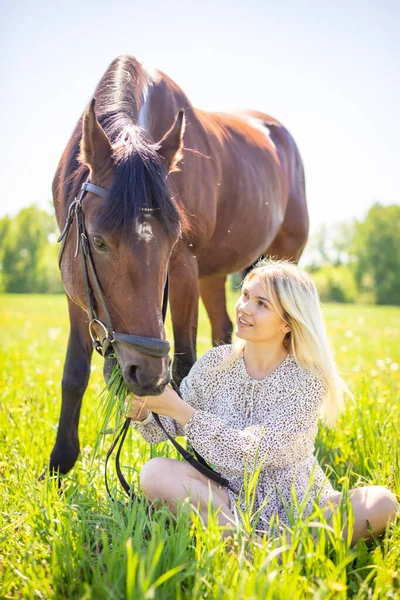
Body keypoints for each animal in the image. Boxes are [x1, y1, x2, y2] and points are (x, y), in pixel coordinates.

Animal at [48, 55, 308, 474]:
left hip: (281, 259)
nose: (146, 373)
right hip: (214, 276)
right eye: (99, 241)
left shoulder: (184, 267)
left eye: (170, 244)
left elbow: (185, 366)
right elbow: (74, 372)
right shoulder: (77, 284)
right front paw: (58, 466)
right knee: (224, 332)